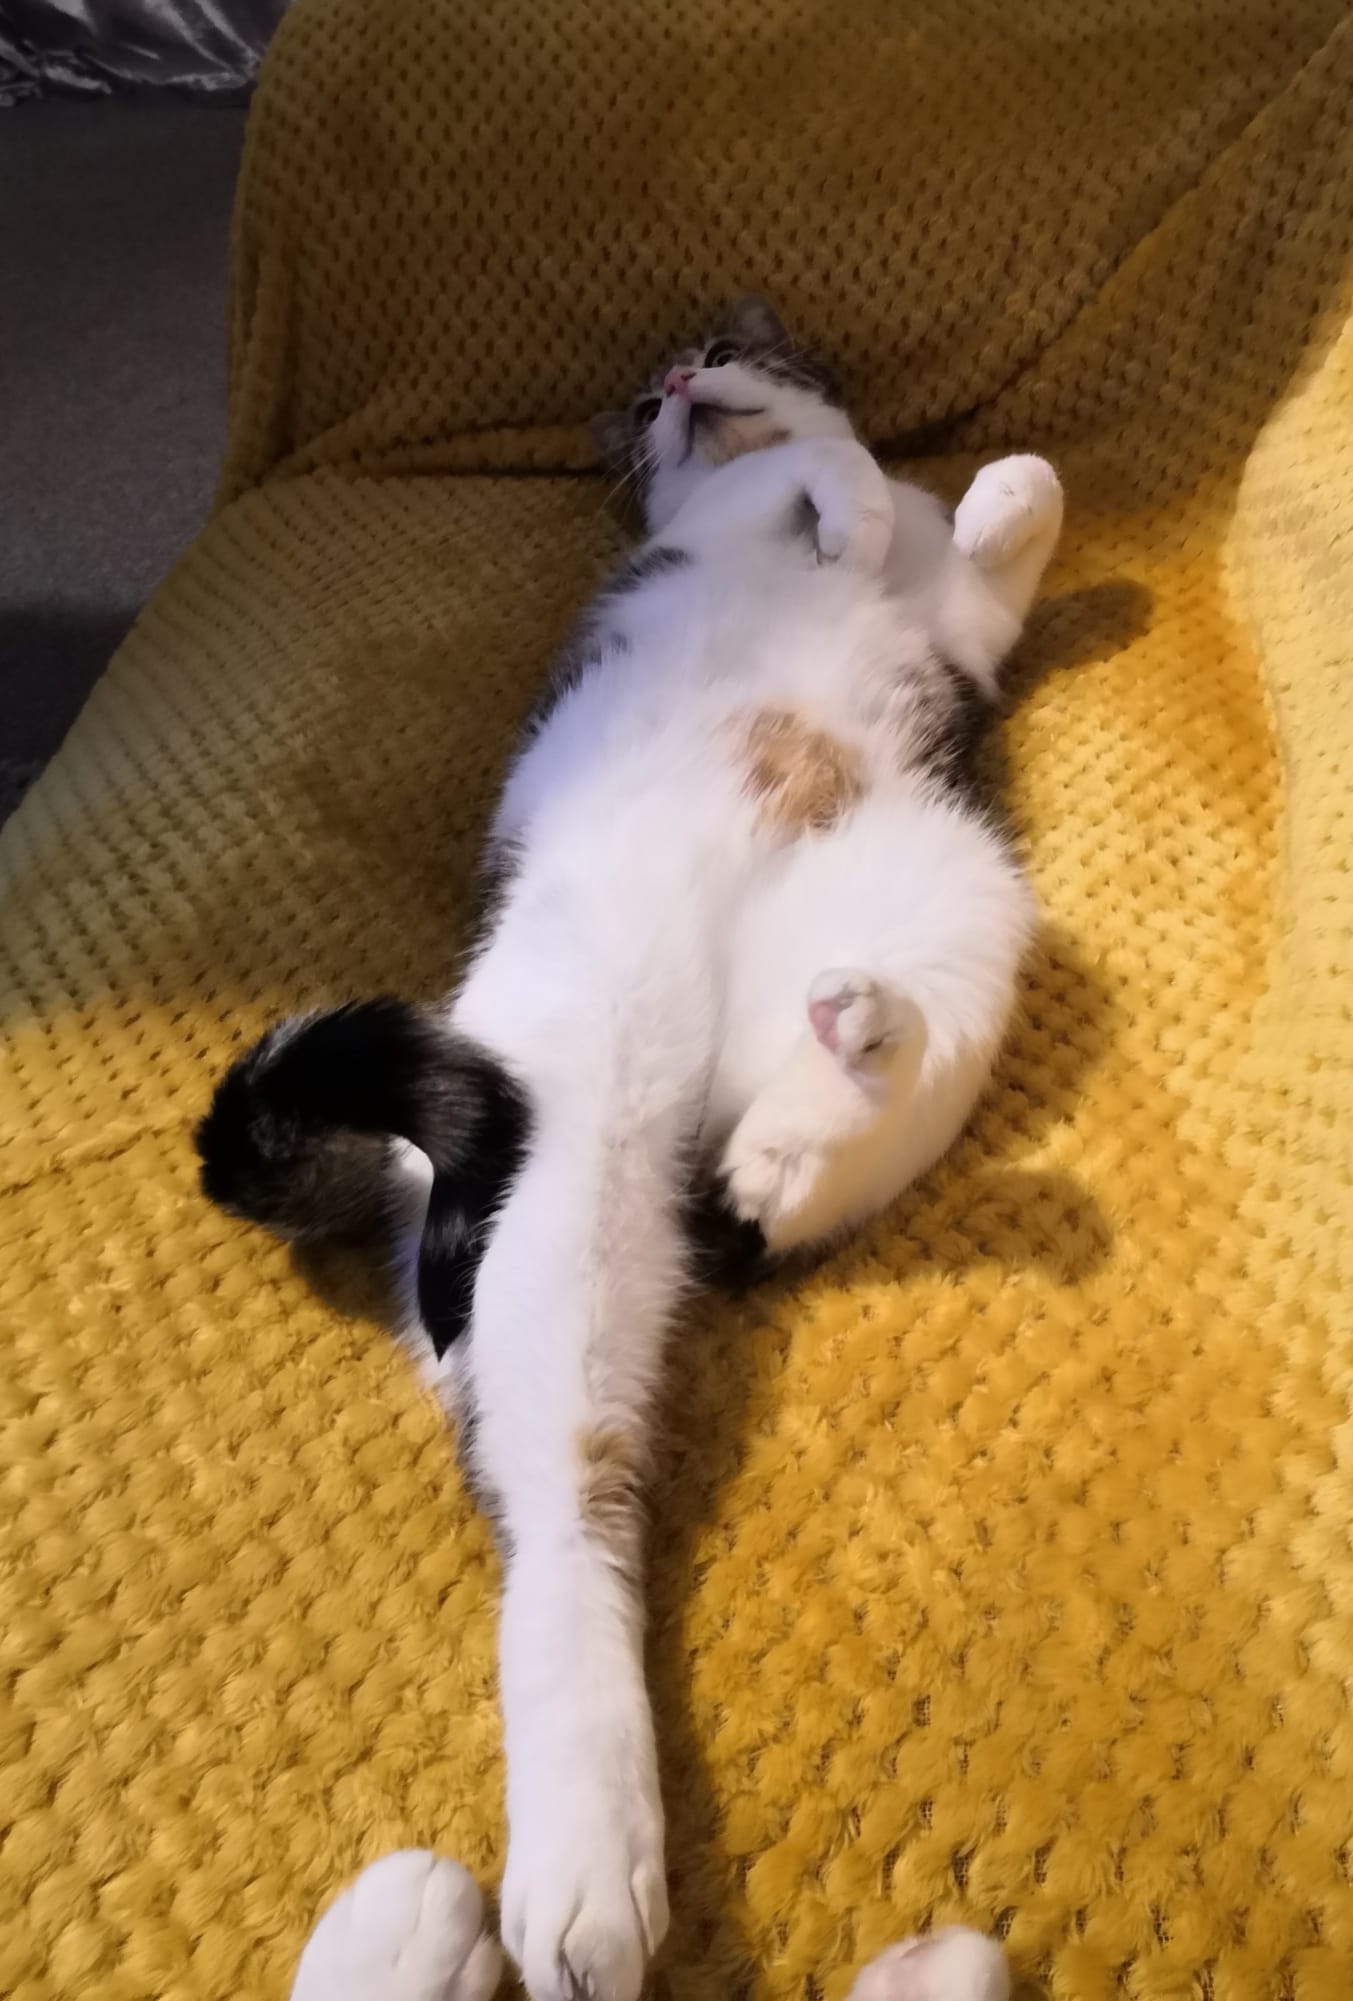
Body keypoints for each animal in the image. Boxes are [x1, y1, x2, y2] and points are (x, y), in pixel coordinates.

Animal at [197, 293, 1062, 2001]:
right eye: (649, 384)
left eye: (728, 343)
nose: (676, 377)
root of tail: (692, 1101)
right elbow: (840, 477)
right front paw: (844, 494)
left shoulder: (965, 639)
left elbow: (1016, 515)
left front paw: (971, 492)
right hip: (551, 1181)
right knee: (565, 1512)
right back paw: (581, 1867)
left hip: (948, 885)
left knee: (830, 1118)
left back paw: (815, 1111)